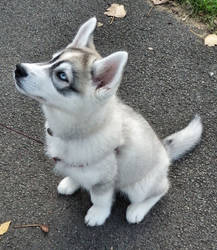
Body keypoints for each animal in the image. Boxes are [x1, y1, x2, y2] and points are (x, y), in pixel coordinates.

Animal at [14, 16, 203, 226]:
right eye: (51, 59)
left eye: (62, 76)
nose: (19, 69)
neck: (78, 132)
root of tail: (165, 152)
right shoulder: (75, 163)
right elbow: (74, 172)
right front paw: (72, 182)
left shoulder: (104, 180)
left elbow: (100, 199)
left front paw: (98, 214)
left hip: (140, 187)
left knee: (161, 190)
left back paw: (137, 210)